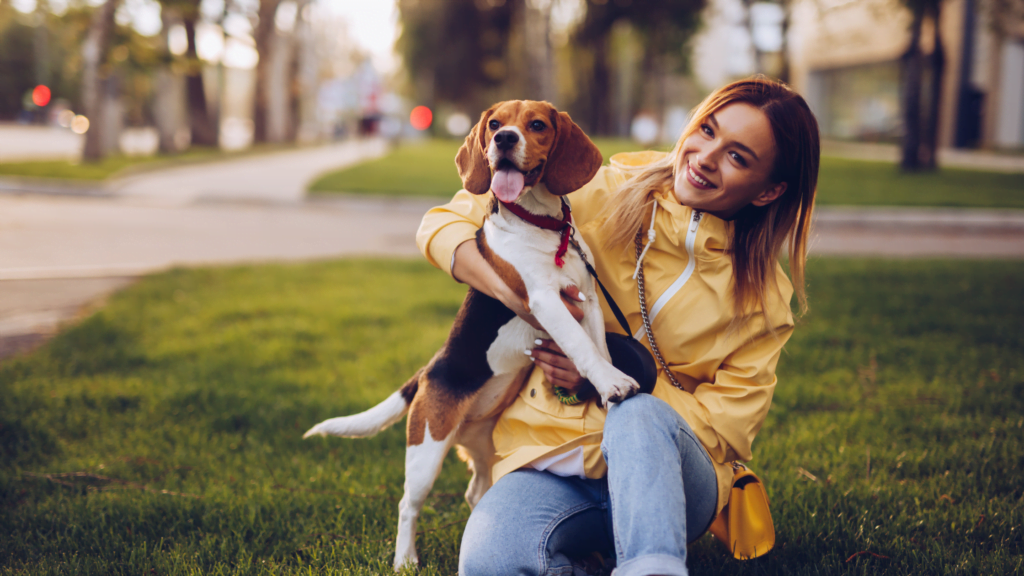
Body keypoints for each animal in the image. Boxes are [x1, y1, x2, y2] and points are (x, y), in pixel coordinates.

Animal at [303, 100, 638, 565]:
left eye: (537, 124)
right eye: (495, 124)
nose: (503, 139)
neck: (542, 227)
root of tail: (427, 372)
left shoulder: (586, 299)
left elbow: (598, 347)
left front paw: (607, 387)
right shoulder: (544, 302)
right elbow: (581, 348)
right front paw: (612, 384)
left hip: (484, 448)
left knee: (475, 490)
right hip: (427, 449)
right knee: (408, 504)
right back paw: (405, 560)